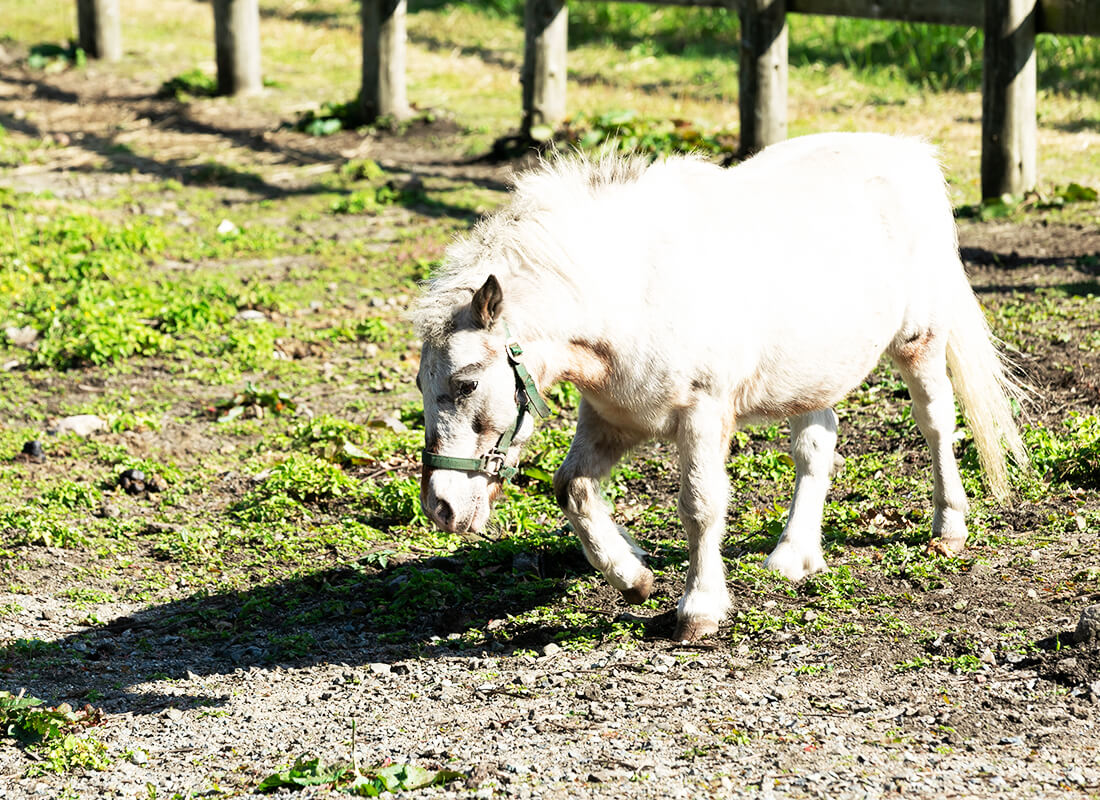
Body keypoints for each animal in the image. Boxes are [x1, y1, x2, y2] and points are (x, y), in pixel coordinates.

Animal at [409, 133, 1025, 642]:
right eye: (420, 383)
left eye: (466, 382)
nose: (439, 507)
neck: (635, 291)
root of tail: (908, 152)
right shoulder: (612, 420)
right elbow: (572, 488)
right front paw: (633, 575)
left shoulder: (702, 416)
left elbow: (700, 505)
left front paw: (699, 609)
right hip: (810, 376)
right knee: (817, 444)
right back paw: (793, 555)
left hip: (919, 342)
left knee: (937, 424)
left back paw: (948, 528)